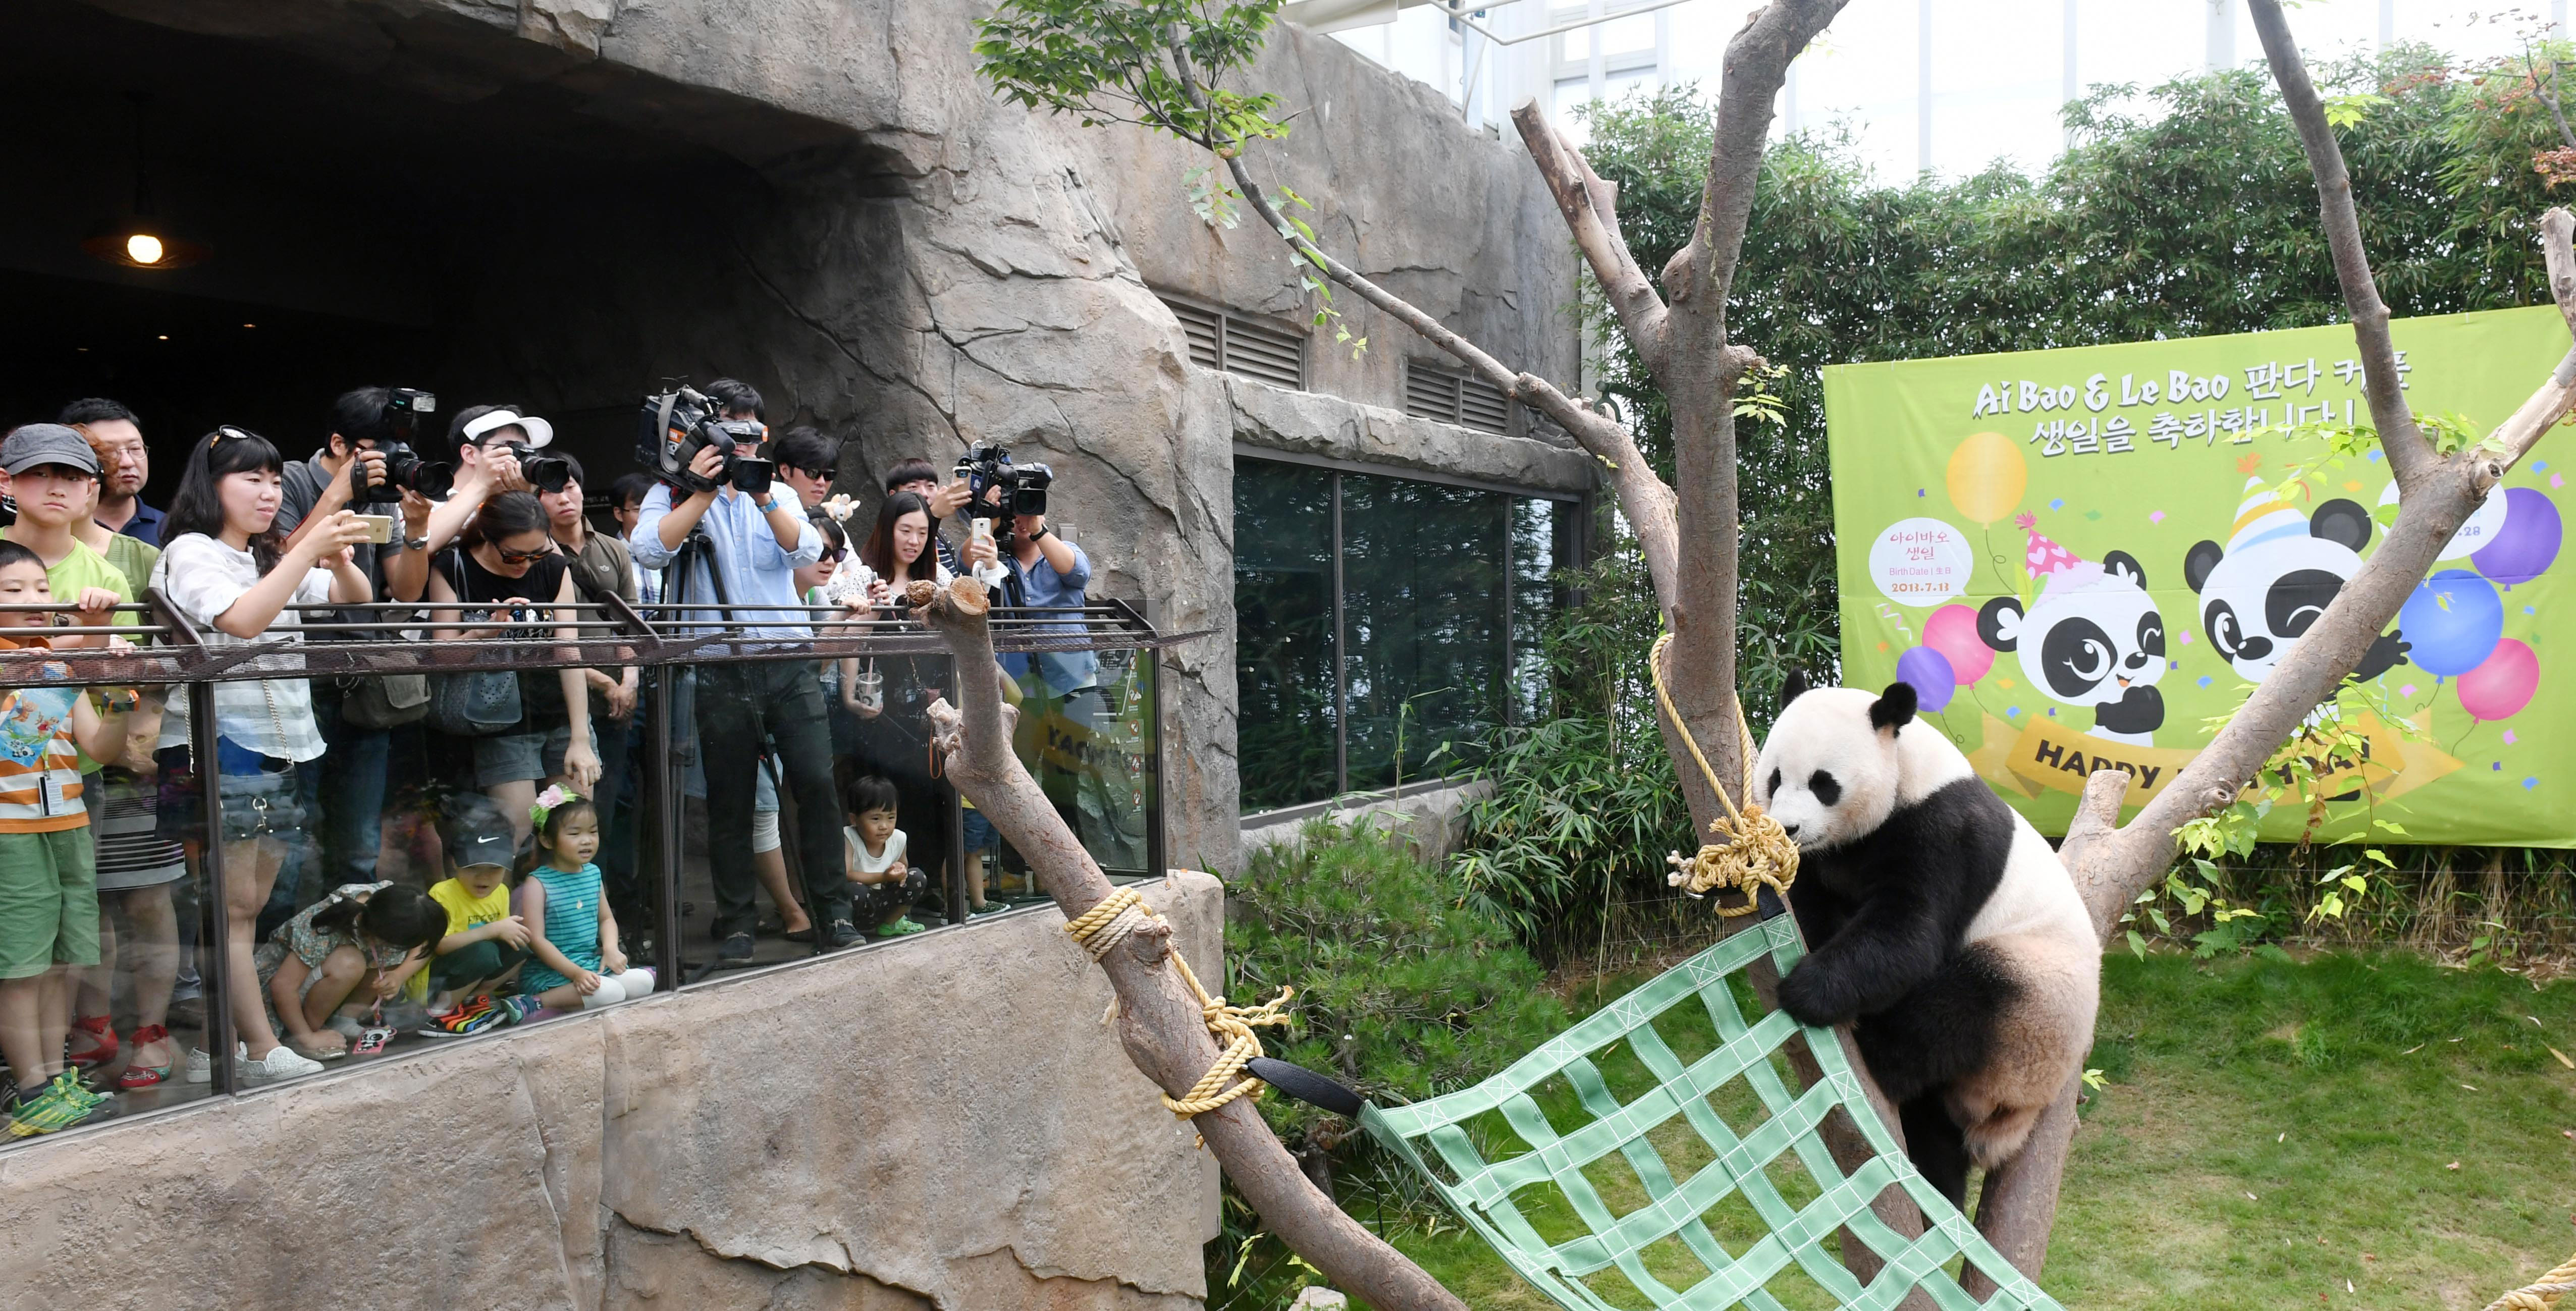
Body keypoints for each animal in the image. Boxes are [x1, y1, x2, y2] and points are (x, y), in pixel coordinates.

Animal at [1762, 680, 2102, 1200]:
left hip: (2035, 1009)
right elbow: (1812, 907)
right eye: (1776, 778)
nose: (1789, 828)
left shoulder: (1945, 833)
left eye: (1824, 783)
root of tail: (2011, 1120)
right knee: (1934, 1136)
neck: (1908, 770)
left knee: (1960, 1005)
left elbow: (1910, 932)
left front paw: (1804, 990)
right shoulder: (1838, 856)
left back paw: (1877, 1052)